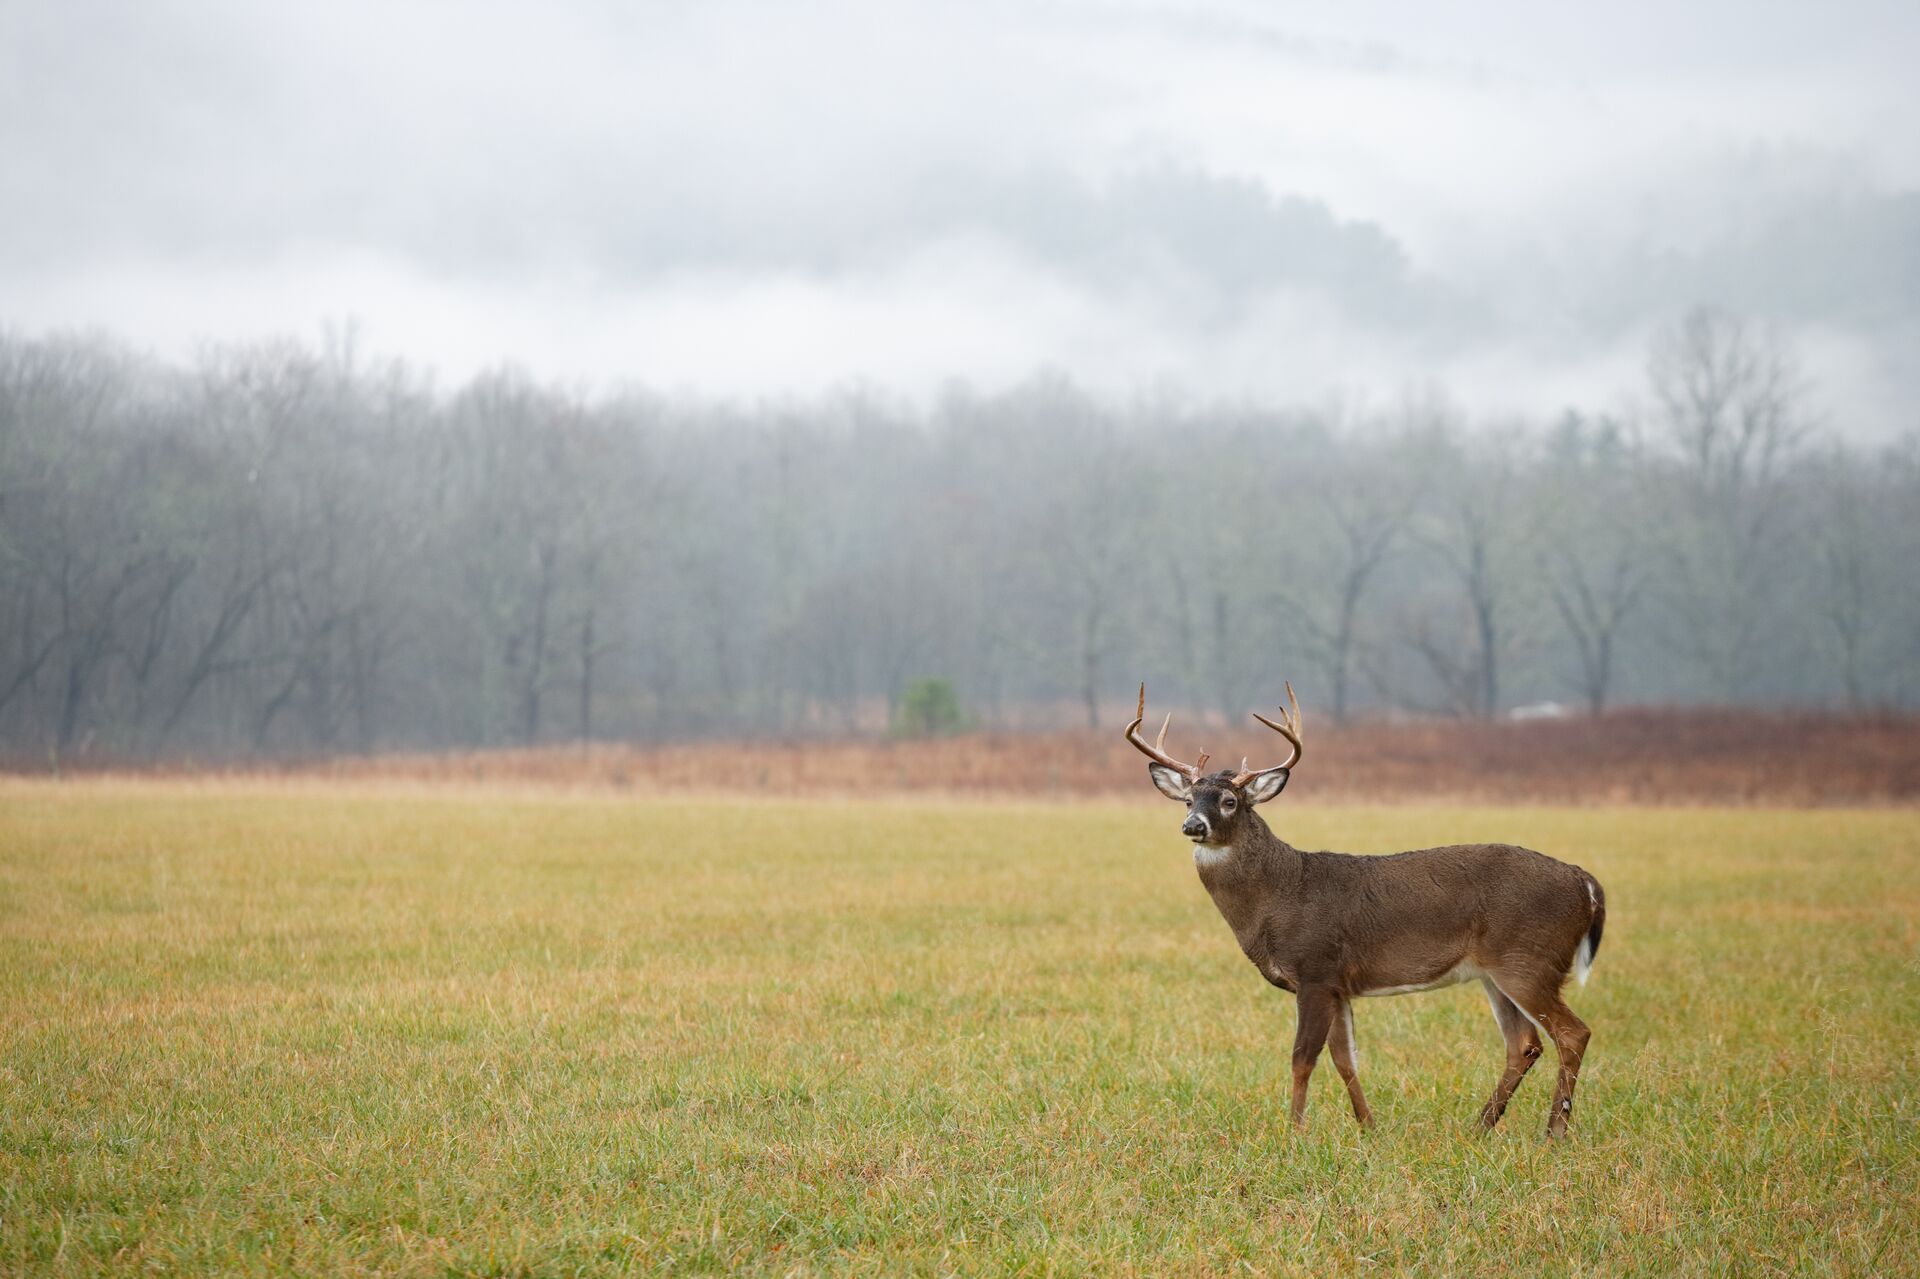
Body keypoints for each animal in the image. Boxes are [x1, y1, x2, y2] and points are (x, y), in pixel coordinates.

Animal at [1126, 683, 1605, 1138]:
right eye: (1188, 800)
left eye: (1229, 802)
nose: (1192, 825)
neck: (1279, 896)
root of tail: (1585, 882)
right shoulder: (1339, 985)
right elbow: (1346, 1058)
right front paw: (1368, 1127)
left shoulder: (1316, 969)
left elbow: (1302, 1057)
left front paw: (1294, 1132)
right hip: (1496, 971)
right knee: (1524, 1043)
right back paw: (1480, 1127)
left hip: (1529, 958)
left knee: (1572, 1032)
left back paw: (1554, 1131)